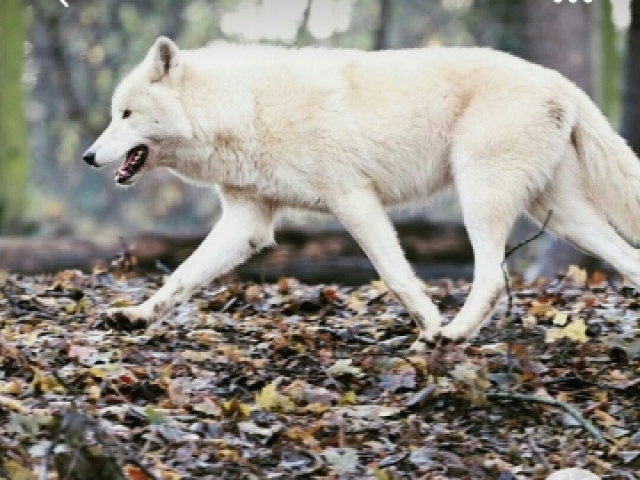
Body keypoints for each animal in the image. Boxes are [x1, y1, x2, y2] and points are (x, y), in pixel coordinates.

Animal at [84, 37, 640, 350]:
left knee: (492, 278)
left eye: (126, 115)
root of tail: (560, 80)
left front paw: (428, 324)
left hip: (481, 198)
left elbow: (394, 274)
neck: (244, 109)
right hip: (563, 217)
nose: (89, 156)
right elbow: (181, 276)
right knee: (627, 258)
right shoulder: (248, 223)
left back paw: (454, 335)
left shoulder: (354, 199)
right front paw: (136, 316)